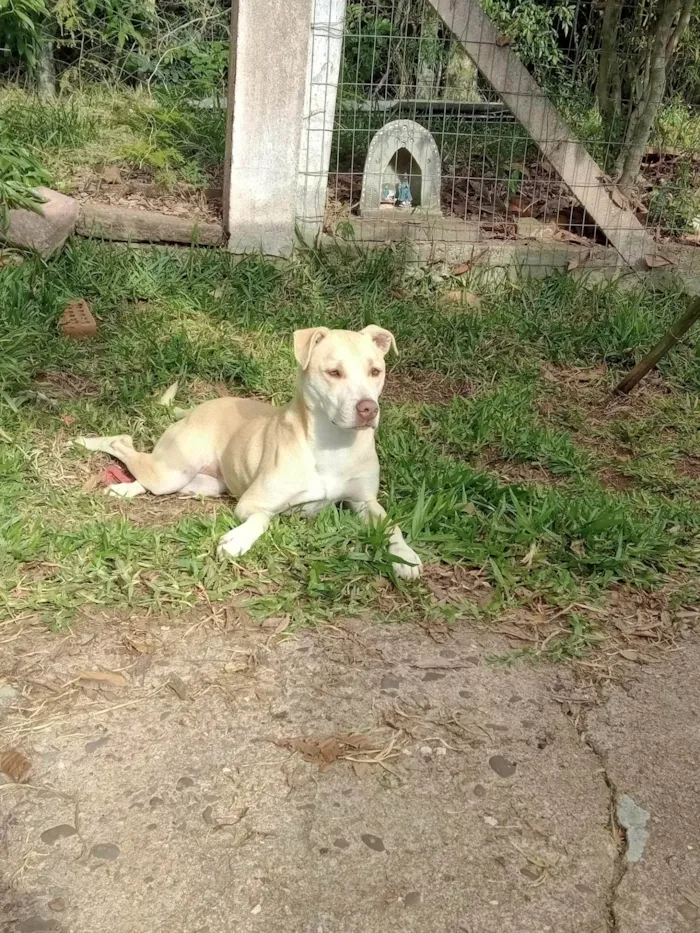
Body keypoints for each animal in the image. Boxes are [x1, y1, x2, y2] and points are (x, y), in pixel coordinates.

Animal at [73, 324, 422, 580]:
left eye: (375, 371)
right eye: (334, 372)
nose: (368, 409)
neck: (333, 442)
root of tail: (197, 408)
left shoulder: (365, 503)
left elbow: (392, 525)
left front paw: (406, 557)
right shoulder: (252, 503)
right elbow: (263, 518)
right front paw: (238, 539)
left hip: (196, 482)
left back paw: (125, 488)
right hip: (171, 472)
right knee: (122, 442)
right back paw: (86, 444)